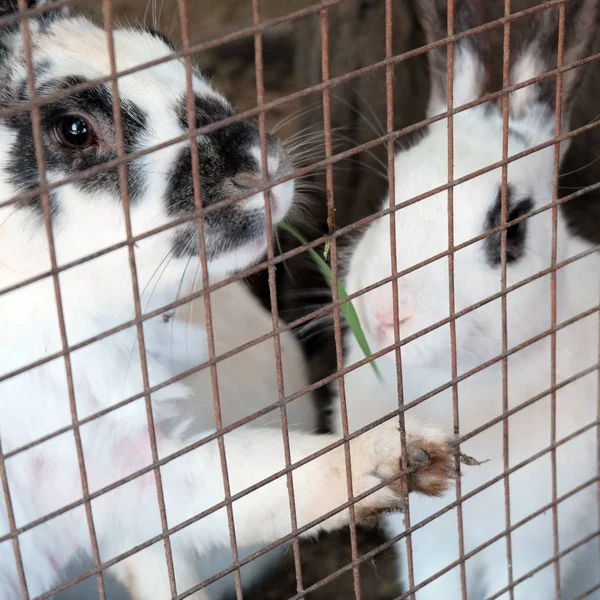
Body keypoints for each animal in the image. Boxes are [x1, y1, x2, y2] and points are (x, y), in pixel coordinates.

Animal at [0, 2, 458, 596]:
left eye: (163, 44)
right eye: (73, 130)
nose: (262, 162)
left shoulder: (121, 470)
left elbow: (245, 482)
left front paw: (404, 457)